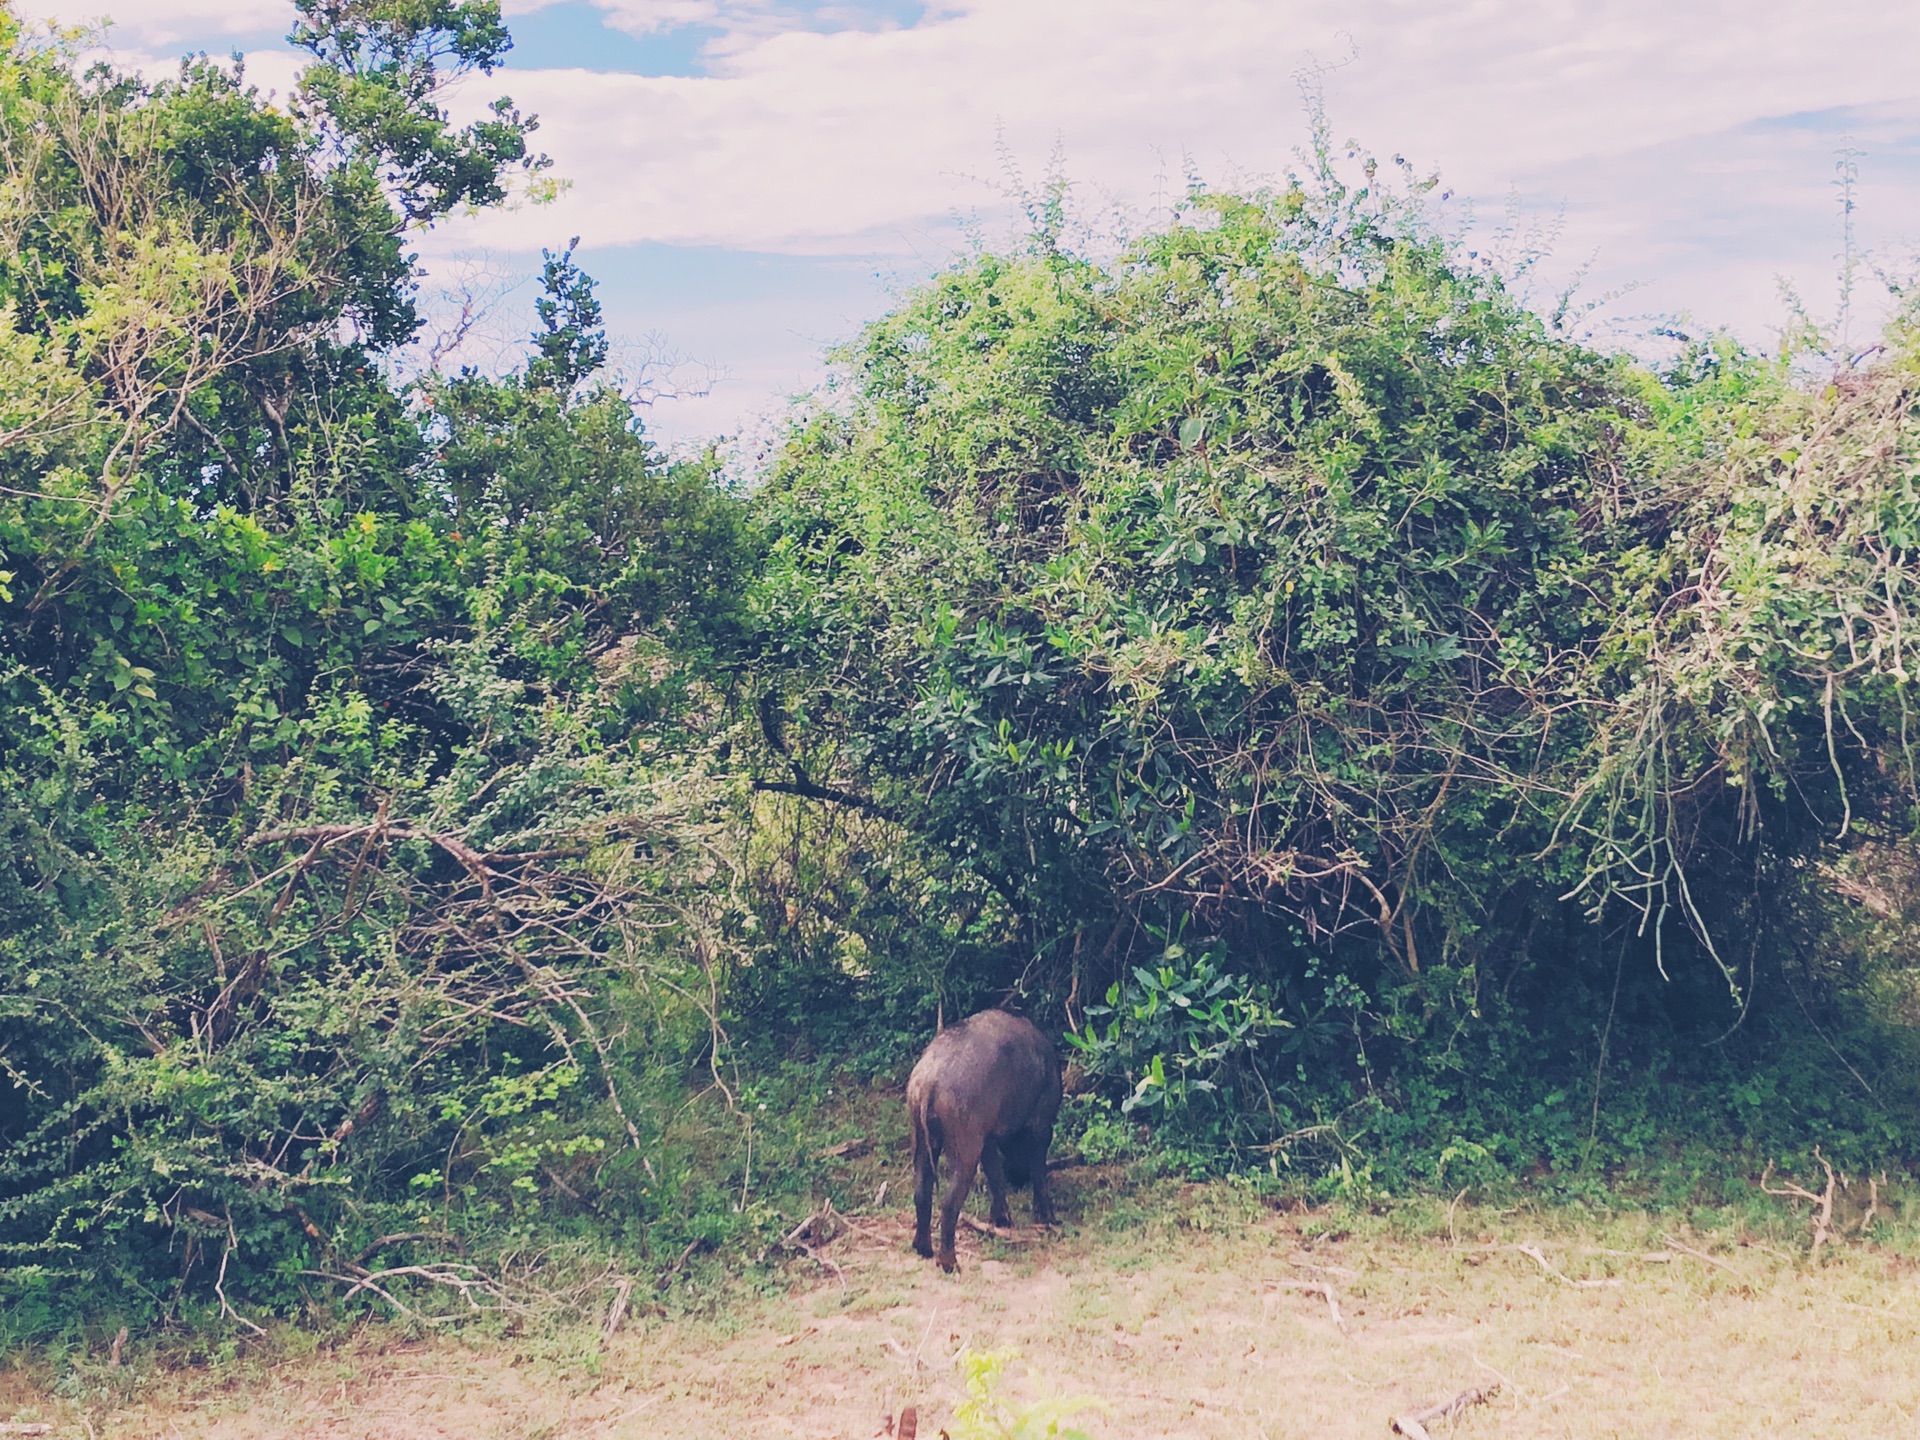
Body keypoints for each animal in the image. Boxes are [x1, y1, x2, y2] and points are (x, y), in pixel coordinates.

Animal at [902, 1006, 1059, 1267]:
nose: (1018, 1178)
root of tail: (928, 1082)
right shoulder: (1040, 1124)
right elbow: (1038, 1170)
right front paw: (1049, 1218)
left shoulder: (988, 1139)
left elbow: (995, 1173)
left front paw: (1001, 1220)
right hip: (965, 1150)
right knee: (949, 1203)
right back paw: (949, 1263)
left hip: (922, 1141)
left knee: (922, 1192)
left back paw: (923, 1248)